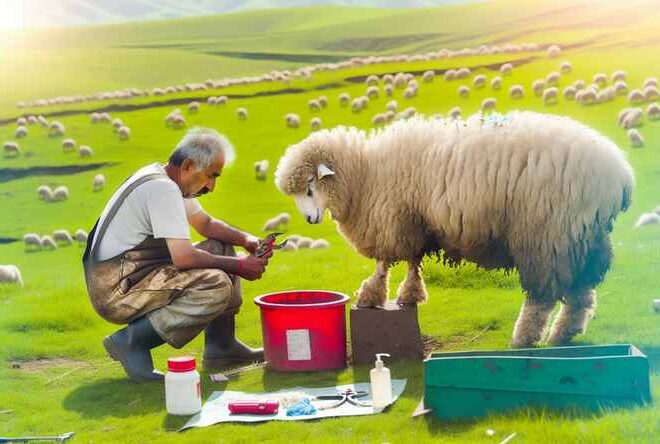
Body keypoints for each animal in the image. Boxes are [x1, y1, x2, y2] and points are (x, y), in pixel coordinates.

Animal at [274, 111, 633, 347]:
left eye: (309, 187)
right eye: (297, 193)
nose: (310, 220)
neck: (365, 174)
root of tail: (620, 175)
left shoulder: (394, 219)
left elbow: (384, 262)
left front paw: (371, 295)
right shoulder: (416, 222)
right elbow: (413, 261)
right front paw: (410, 294)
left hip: (546, 234)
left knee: (542, 296)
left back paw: (524, 337)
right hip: (583, 238)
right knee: (581, 293)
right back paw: (563, 334)